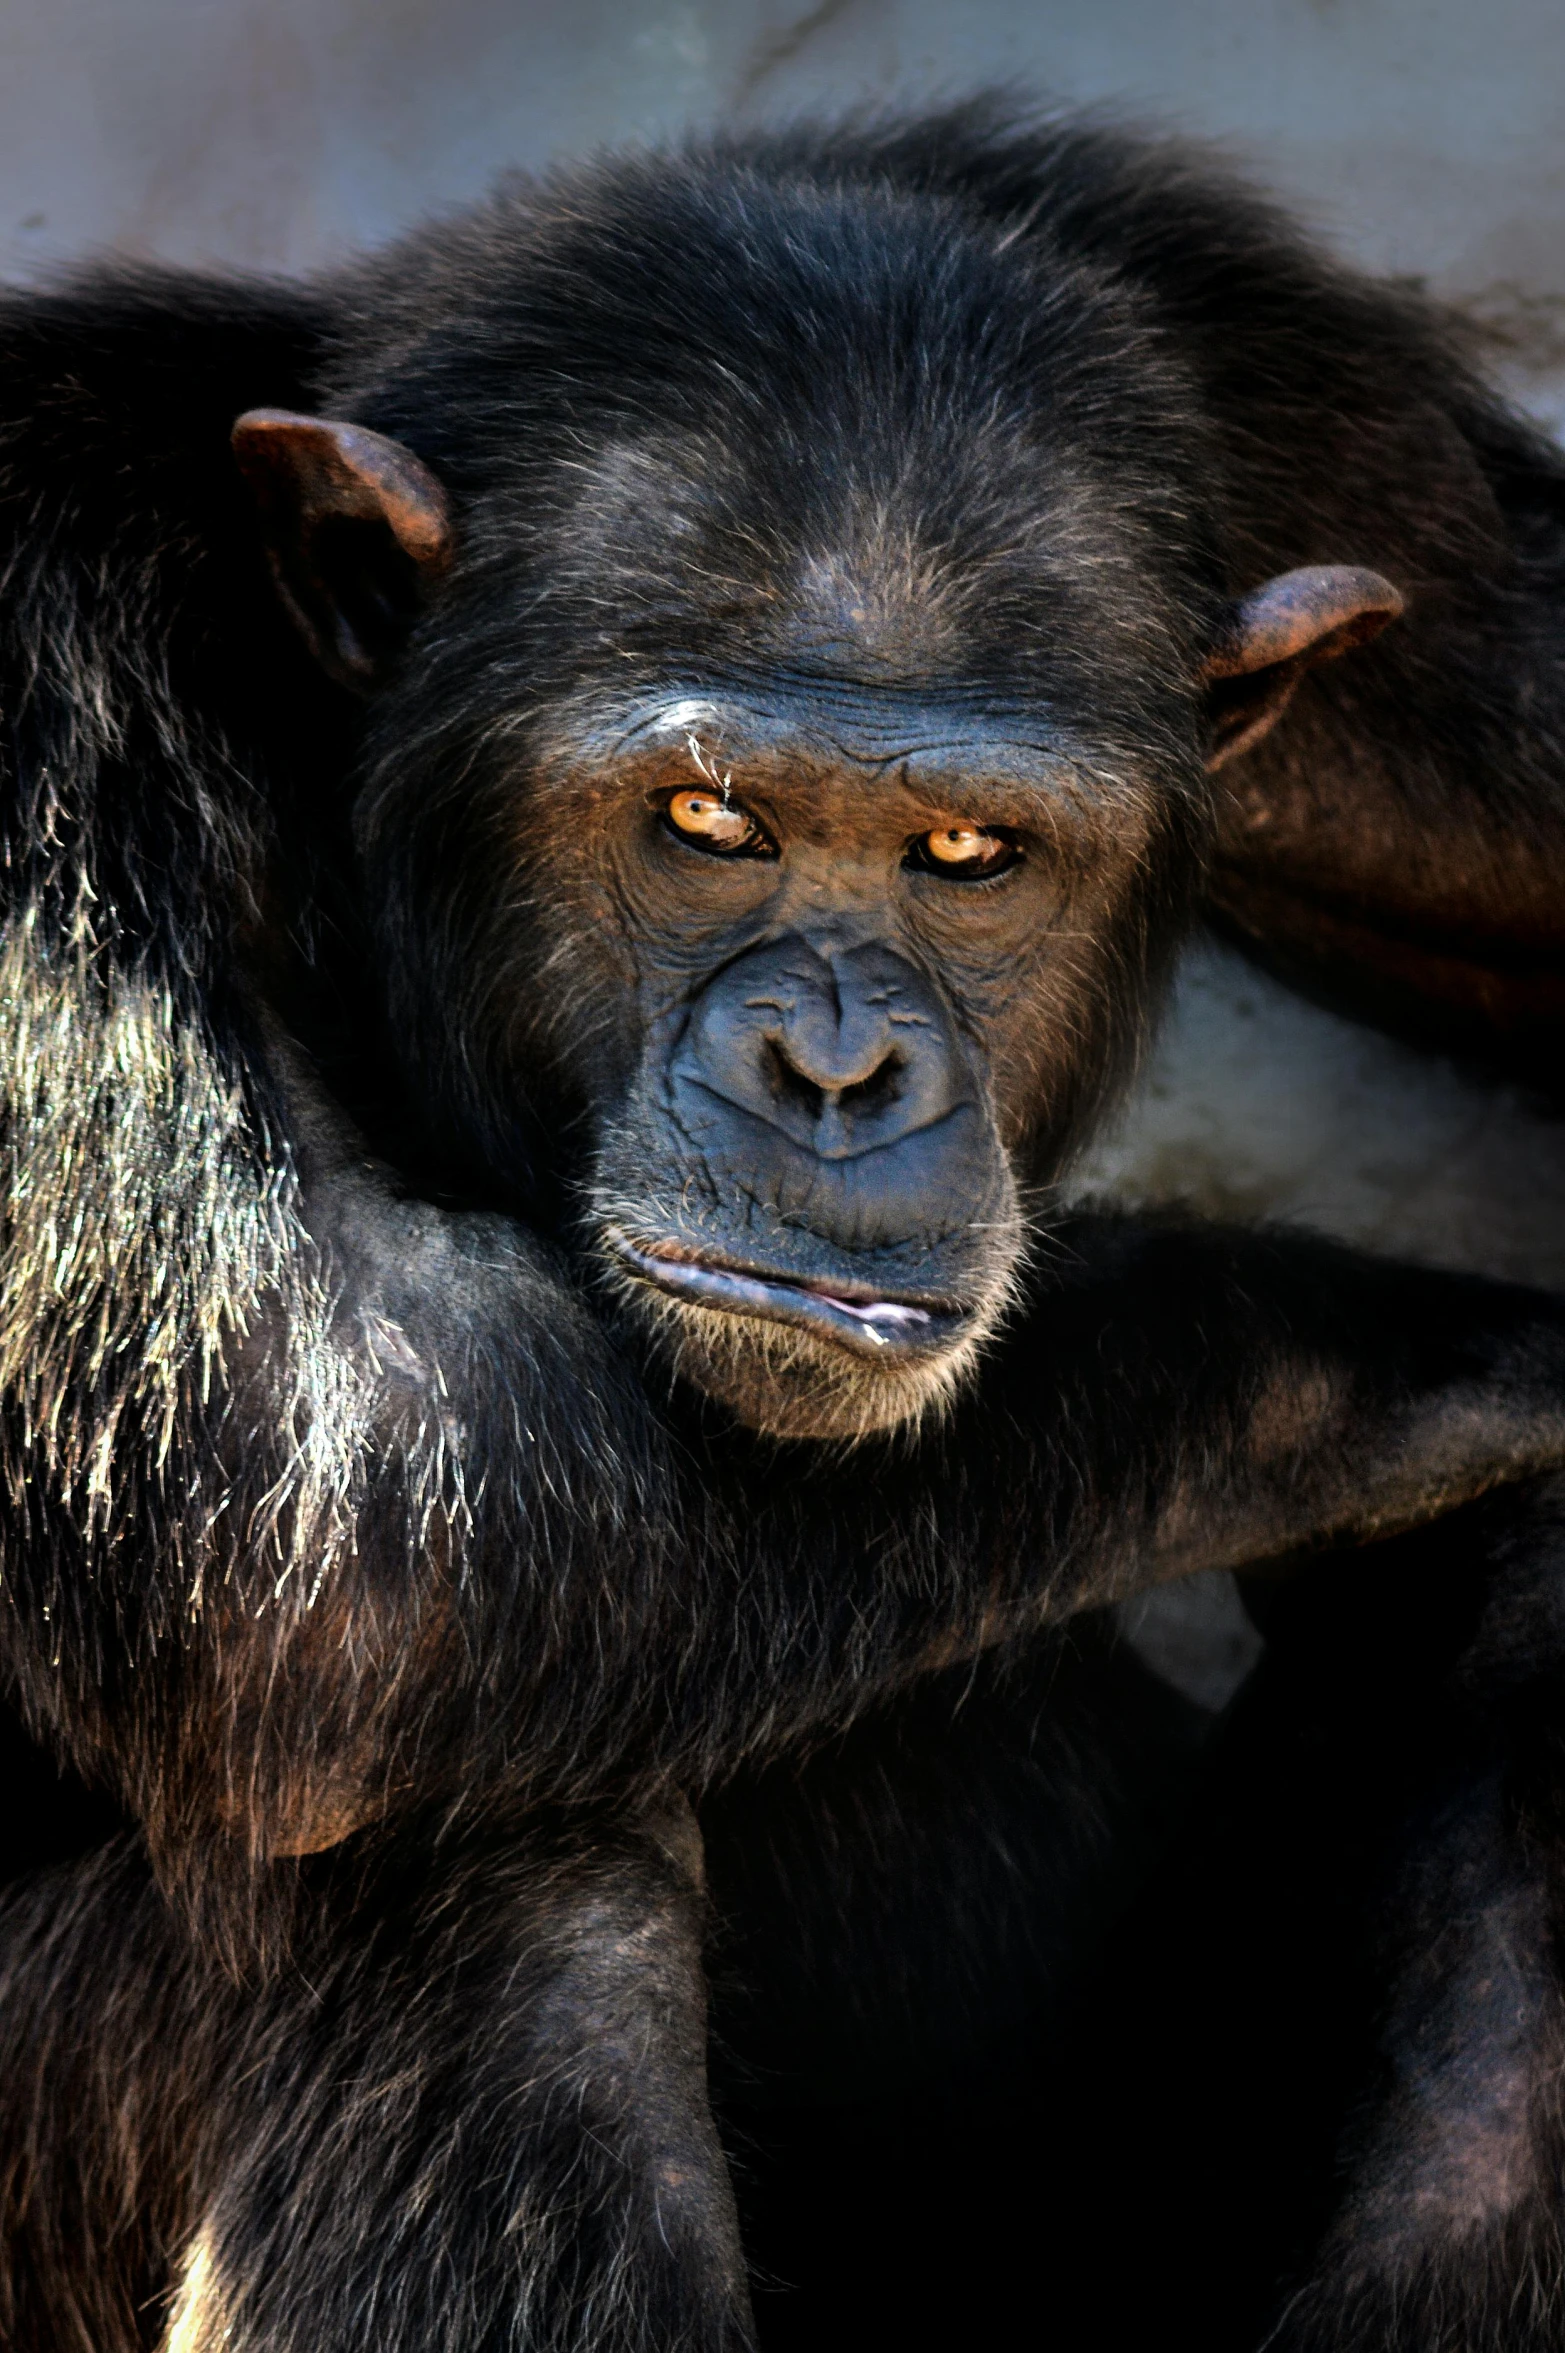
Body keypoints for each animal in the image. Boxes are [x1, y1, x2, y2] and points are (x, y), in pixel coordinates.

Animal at [6, 96, 1562, 2353]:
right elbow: (330, 1482)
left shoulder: (1263, 371)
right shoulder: (34, 670)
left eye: (968, 855)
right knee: (501, 1876)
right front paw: (1477, 1375)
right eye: (706, 821)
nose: (834, 1066)